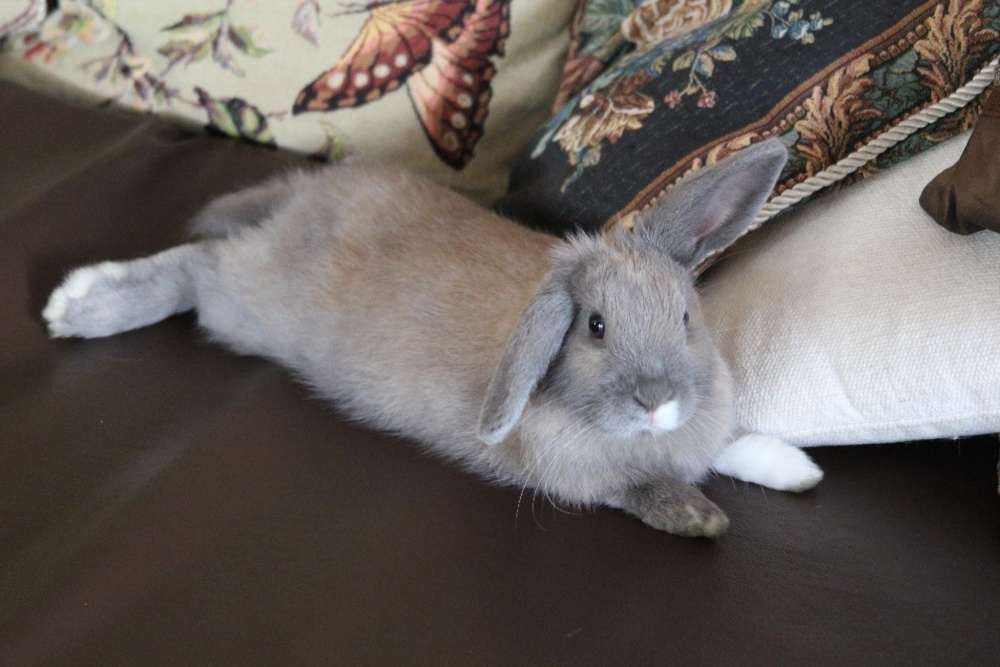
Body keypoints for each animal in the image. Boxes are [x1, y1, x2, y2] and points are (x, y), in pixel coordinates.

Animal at [41, 140, 820, 536]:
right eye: (595, 328)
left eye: (686, 317)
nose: (656, 400)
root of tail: (309, 197)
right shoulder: (577, 475)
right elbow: (635, 487)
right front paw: (701, 515)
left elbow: (730, 444)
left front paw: (796, 469)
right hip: (246, 302)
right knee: (199, 268)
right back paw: (82, 303)